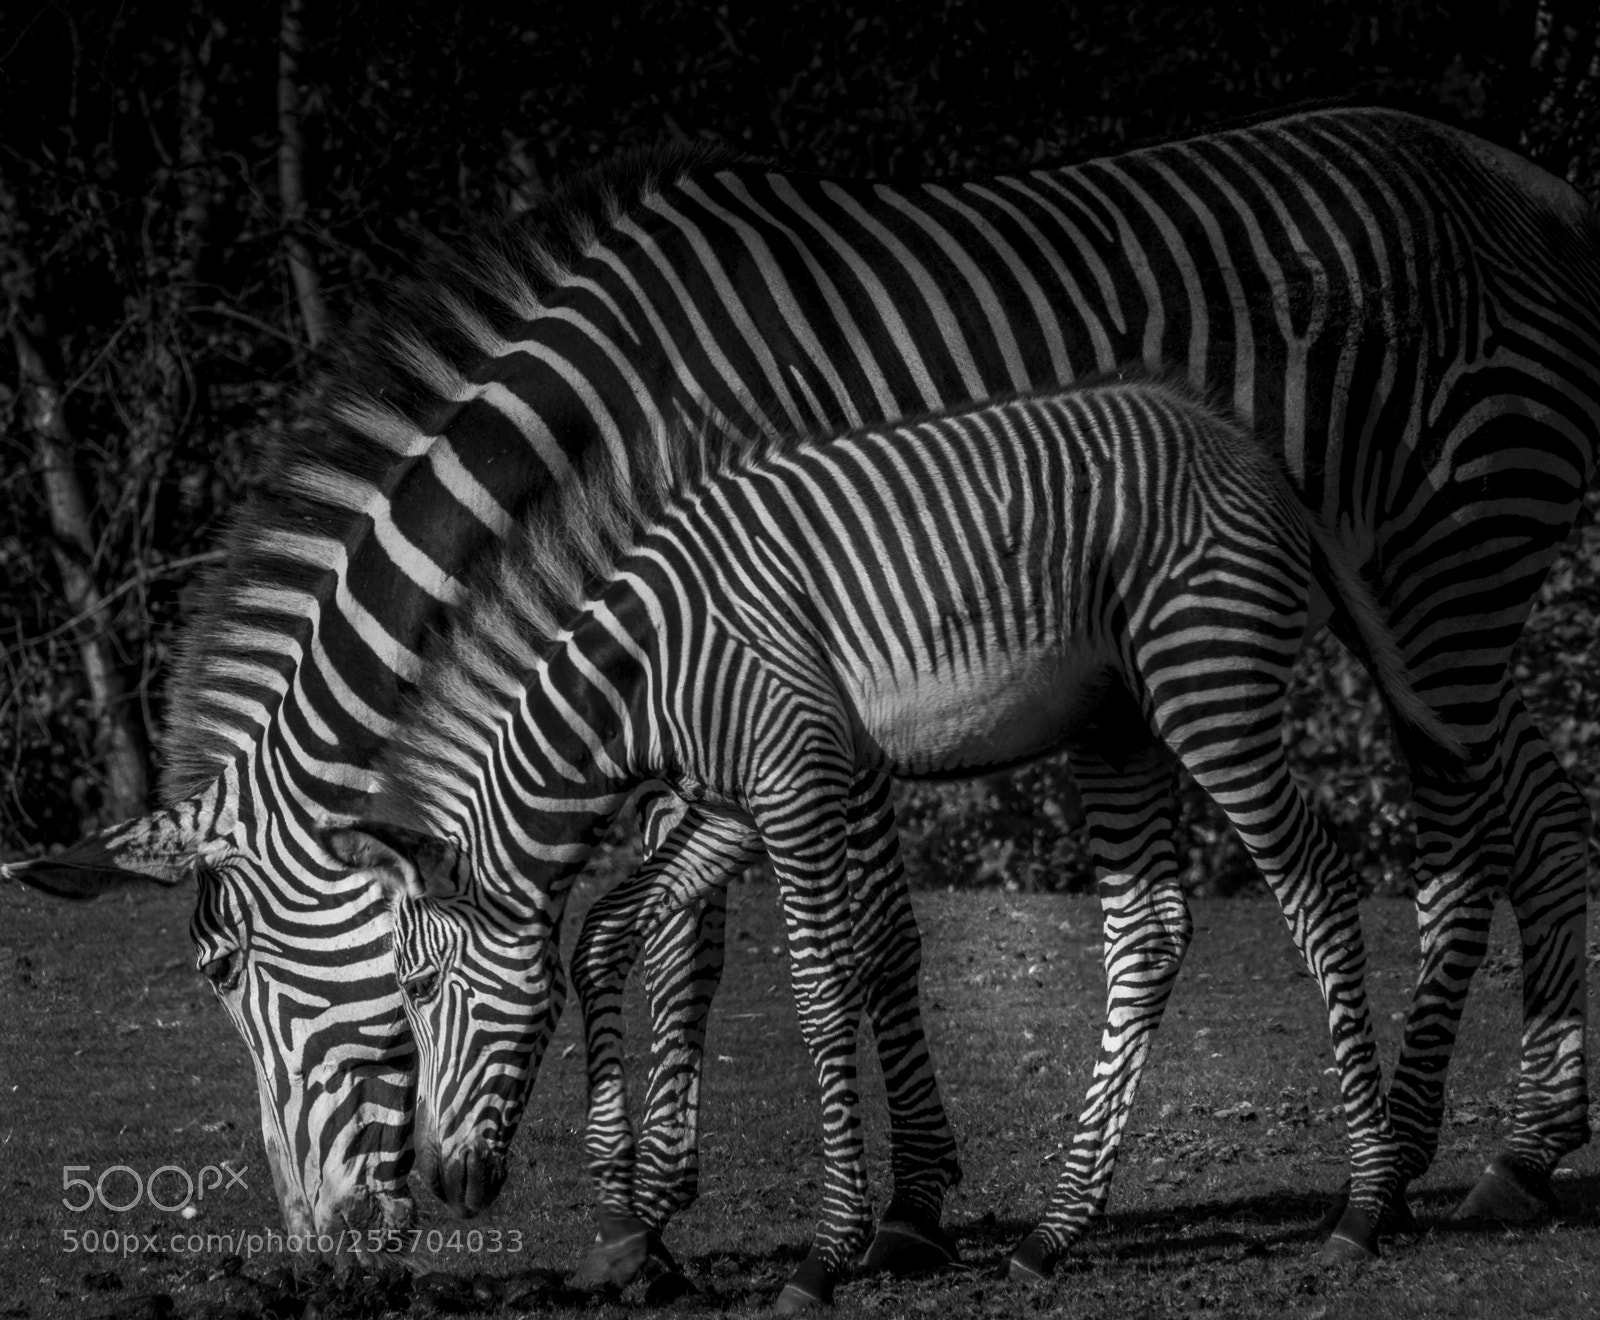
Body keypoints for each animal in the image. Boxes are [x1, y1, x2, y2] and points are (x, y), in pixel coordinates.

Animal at [328, 376, 1470, 1305]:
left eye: (419, 989)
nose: (444, 1188)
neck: (640, 672)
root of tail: (1252, 450)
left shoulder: (795, 783)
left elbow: (821, 986)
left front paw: (829, 1251)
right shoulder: (737, 800)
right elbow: (606, 931)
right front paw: (621, 1224)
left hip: (1209, 687)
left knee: (1316, 885)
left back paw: (1367, 1204)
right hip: (1119, 723)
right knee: (1149, 929)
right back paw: (1058, 1229)